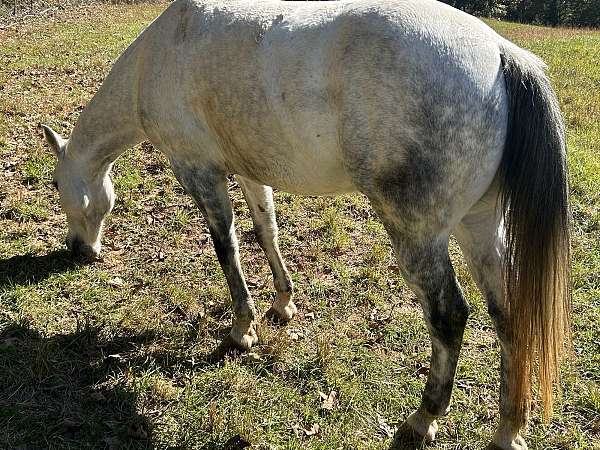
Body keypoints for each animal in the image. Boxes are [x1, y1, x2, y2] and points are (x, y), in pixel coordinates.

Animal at [43, 1, 572, 448]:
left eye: (55, 183)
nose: (77, 249)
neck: (158, 57)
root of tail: (500, 53)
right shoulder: (249, 172)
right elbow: (266, 232)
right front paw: (282, 304)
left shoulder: (198, 171)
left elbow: (226, 247)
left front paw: (242, 330)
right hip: (477, 226)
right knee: (509, 312)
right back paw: (509, 429)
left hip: (419, 237)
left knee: (448, 317)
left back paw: (423, 419)